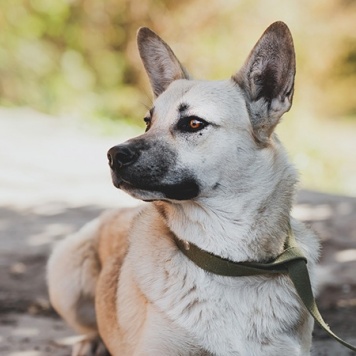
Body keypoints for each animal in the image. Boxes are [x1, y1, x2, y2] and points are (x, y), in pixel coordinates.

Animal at [46, 20, 320, 354]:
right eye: (147, 121)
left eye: (193, 123)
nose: (113, 155)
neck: (227, 263)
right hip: (65, 276)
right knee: (89, 323)